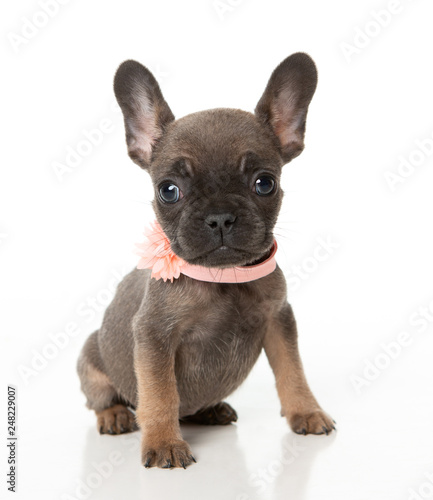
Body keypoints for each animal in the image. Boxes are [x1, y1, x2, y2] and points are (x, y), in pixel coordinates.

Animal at [77, 53, 334, 468]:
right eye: (168, 191)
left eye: (265, 183)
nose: (220, 217)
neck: (223, 279)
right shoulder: (155, 336)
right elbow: (160, 394)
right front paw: (164, 442)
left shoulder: (279, 320)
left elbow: (292, 371)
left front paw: (306, 411)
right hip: (90, 360)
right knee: (101, 398)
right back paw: (114, 414)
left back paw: (212, 410)